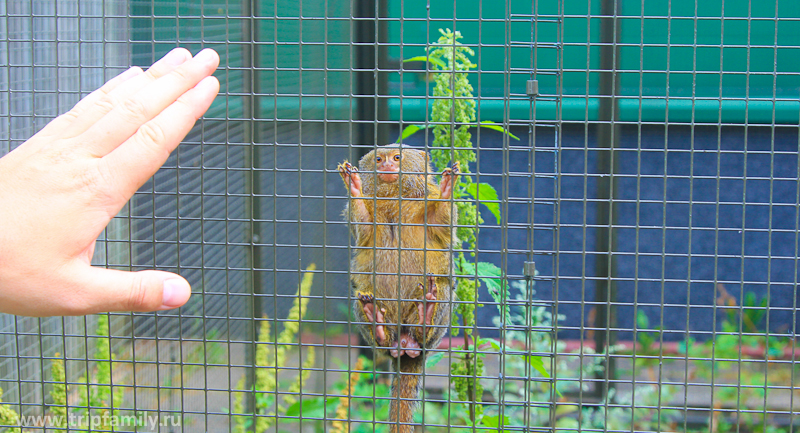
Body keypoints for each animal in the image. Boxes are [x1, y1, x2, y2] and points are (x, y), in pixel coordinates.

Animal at [338, 144, 460, 432]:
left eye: (396, 158)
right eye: (379, 159)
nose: (387, 166)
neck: (395, 197)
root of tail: (406, 348)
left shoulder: (429, 202)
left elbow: (442, 222)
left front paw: (448, 188)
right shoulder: (367, 214)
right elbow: (363, 228)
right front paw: (354, 186)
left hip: (435, 325)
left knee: (441, 290)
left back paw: (425, 318)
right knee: (364, 298)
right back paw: (378, 326)